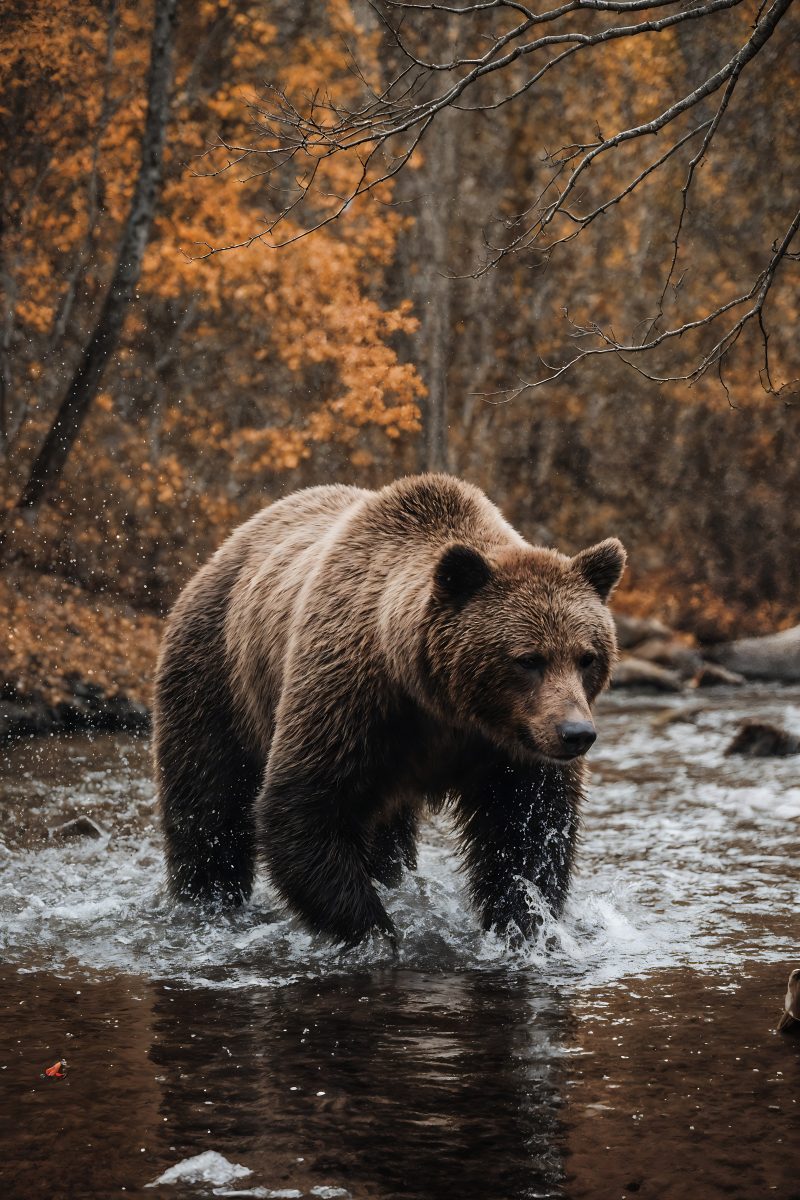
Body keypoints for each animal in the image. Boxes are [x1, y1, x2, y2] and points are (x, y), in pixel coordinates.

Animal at [153, 474, 625, 946]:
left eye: (586, 657)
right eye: (528, 659)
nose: (576, 733)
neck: (442, 705)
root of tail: (226, 547)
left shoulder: (509, 750)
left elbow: (529, 831)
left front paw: (522, 924)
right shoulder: (350, 702)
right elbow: (302, 809)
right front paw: (376, 932)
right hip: (217, 677)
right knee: (209, 802)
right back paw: (208, 897)